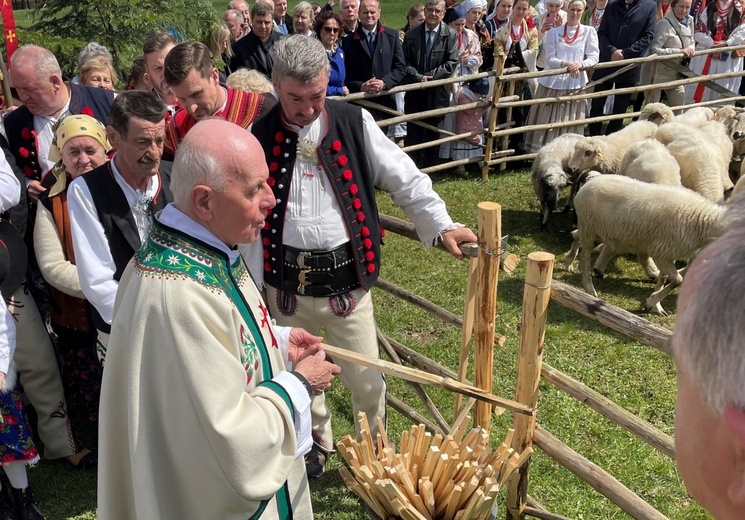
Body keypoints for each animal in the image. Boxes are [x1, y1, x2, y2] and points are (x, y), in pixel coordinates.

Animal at [564, 176, 728, 312]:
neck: (701, 222)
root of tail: (586, 185)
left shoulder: (667, 253)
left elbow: (664, 279)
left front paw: (654, 305)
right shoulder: (660, 252)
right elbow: (677, 280)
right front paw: (652, 302)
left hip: (593, 229)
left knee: (575, 235)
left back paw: (569, 262)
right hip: (590, 228)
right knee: (585, 257)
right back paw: (589, 288)